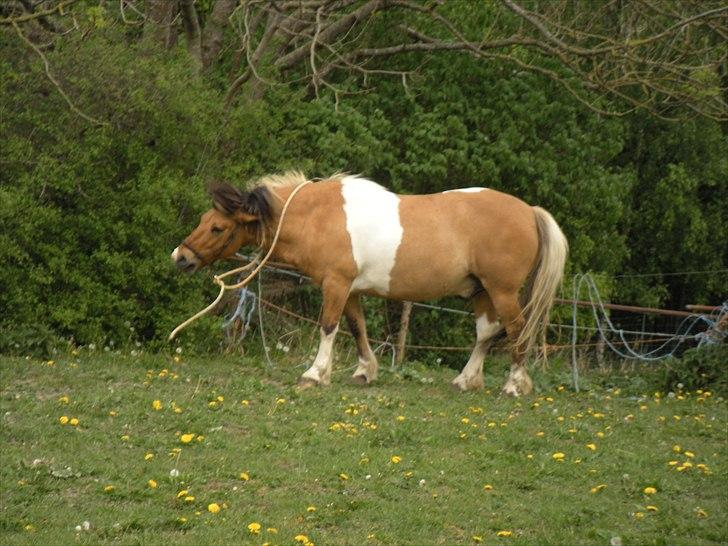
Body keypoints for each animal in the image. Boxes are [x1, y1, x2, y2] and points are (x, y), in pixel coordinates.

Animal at [172, 171, 568, 396]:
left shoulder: (335, 283)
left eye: (217, 227)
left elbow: (328, 326)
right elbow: (356, 327)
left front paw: (315, 374)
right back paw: (465, 380)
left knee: (517, 330)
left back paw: (514, 384)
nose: (181, 257)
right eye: (204, 220)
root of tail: (529, 211)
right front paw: (365, 371)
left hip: (502, 292)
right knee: (486, 334)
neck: (317, 216)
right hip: (482, 291)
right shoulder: (350, 289)